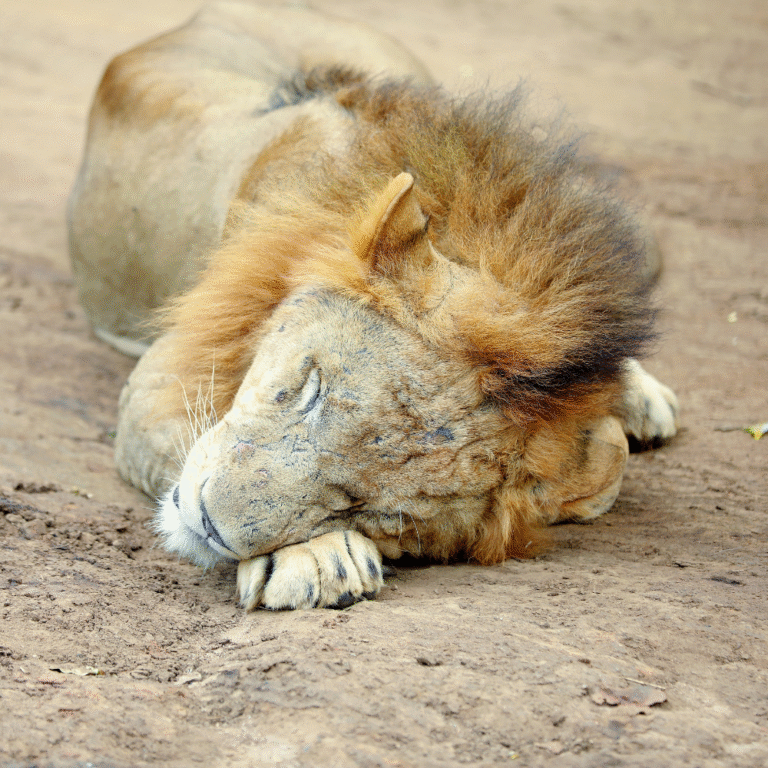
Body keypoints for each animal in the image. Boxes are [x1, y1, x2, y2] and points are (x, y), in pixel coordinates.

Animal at [68, 1, 679, 610]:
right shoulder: (156, 382)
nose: (207, 525)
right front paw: (314, 557)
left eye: (371, 510)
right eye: (312, 389)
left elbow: (609, 457)